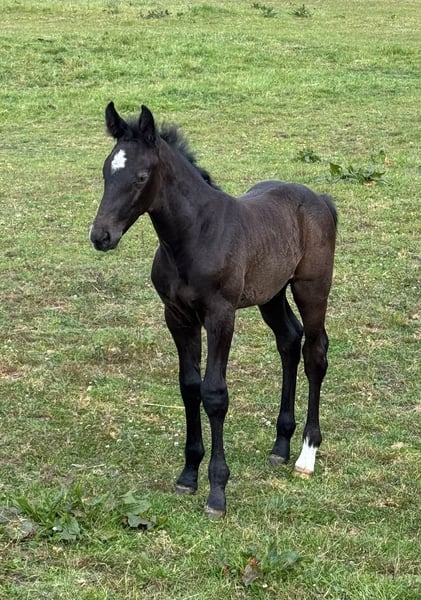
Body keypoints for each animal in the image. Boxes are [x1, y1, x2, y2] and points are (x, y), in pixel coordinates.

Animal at [89, 102, 337, 518]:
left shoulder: (221, 316)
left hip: (312, 289)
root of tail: (319, 197)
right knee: (289, 340)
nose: (101, 236)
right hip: (271, 293)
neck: (194, 235)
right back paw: (280, 446)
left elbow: (215, 394)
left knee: (315, 352)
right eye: (107, 171)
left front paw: (217, 491)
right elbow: (189, 387)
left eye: (141, 177)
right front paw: (189, 474)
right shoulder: (177, 317)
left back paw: (306, 455)